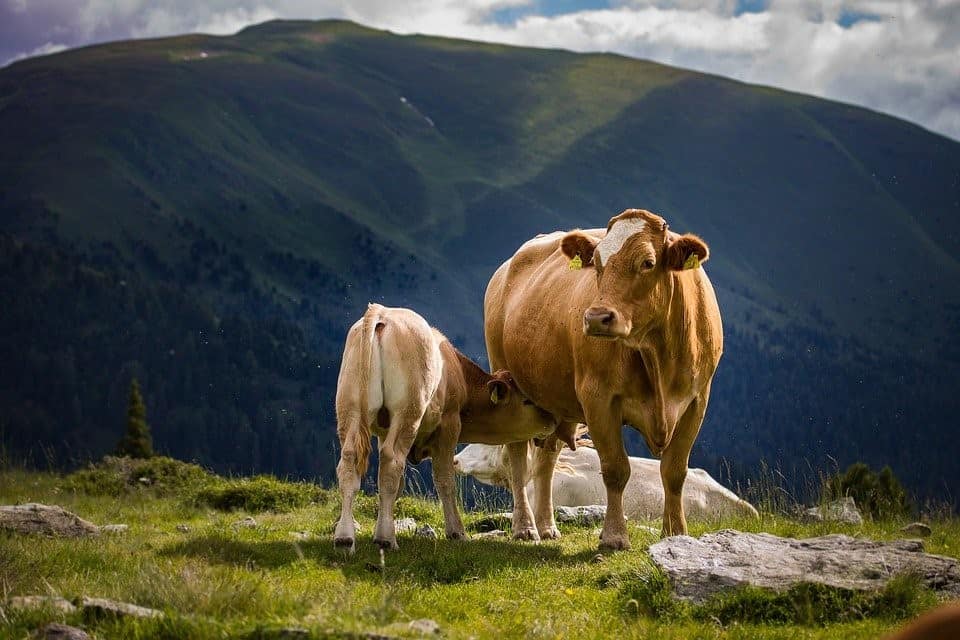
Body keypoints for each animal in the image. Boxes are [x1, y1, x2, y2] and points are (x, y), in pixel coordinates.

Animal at [334, 303, 557, 552]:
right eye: (527, 401)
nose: (553, 419)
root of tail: (383, 313)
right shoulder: (449, 425)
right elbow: (445, 479)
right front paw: (456, 531)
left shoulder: (384, 431)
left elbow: (395, 485)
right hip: (407, 412)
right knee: (392, 461)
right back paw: (385, 539)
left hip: (349, 408)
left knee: (350, 462)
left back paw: (344, 537)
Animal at [484, 208, 723, 549]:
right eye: (596, 262)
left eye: (648, 262)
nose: (597, 317)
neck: (657, 355)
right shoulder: (598, 398)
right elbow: (615, 469)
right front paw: (614, 536)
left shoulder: (697, 401)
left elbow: (675, 471)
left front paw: (676, 533)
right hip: (508, 380)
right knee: (518, 457)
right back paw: (525, 527)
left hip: (555, 403)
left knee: (547, 459)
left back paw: (547, 525)